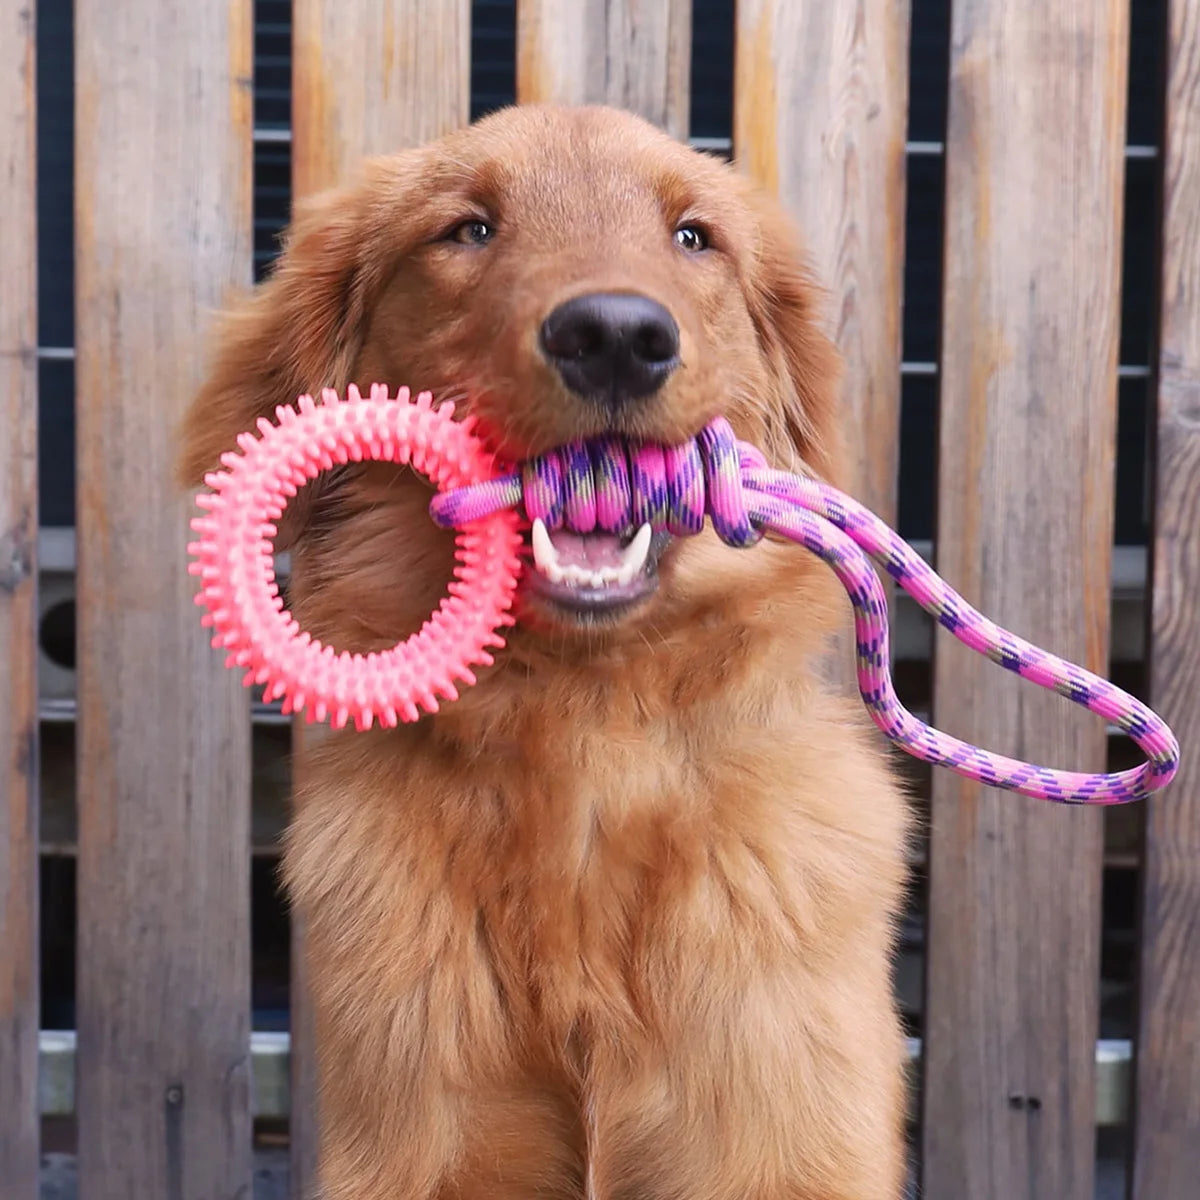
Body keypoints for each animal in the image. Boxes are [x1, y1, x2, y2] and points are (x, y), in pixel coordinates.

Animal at [180, 103, 907, 1200]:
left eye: (692, 237)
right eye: (469, 229)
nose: (614, 337)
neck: (586, 741)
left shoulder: (780, 1143)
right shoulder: (423, 1148)